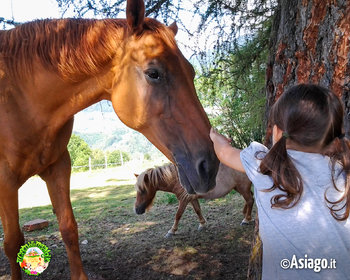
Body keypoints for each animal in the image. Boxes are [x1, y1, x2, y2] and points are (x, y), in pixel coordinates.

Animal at [0, 0, 219, 278]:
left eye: (191, 72)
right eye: (154, 73)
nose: (210, 166)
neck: (20, 98)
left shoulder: (58, 166)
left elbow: (68, 227)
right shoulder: (5, 181)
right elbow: (12, 242)